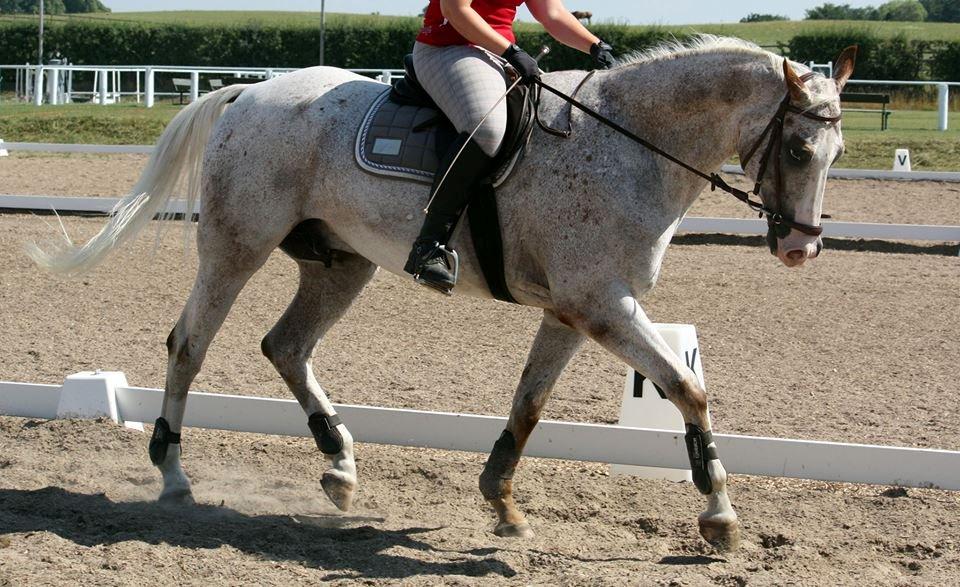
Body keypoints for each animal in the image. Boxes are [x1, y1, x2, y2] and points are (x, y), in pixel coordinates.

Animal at [28, 38, 856, 556]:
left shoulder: (575, 309)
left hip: (340, 264)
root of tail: (251, 94)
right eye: (796, 148)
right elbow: (688, 387)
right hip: (237, 247)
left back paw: (339, 464)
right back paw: (173, 473)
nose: (801, 247)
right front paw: (719, 515)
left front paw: (502, 500)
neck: (627, 144)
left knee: (285, 345)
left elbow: (530, 402)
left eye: (836, 151)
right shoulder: (604, 303)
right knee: (190, 343)